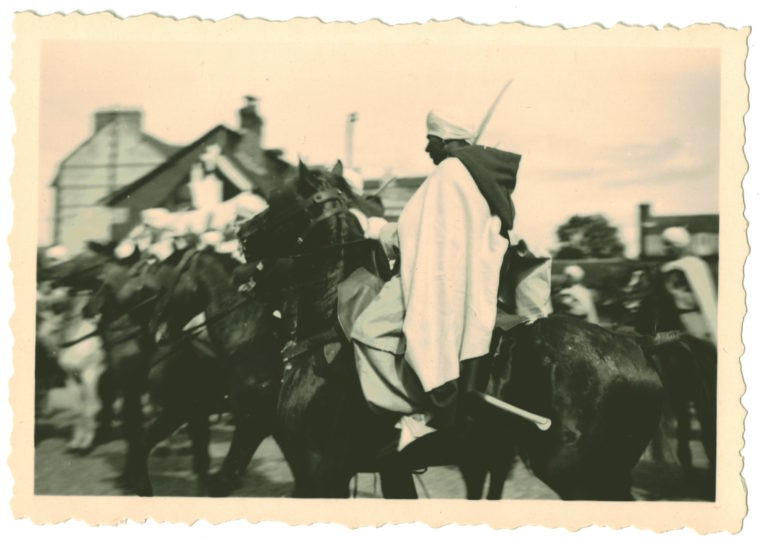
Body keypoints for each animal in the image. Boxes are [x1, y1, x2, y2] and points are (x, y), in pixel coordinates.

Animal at [240, 163, 664, 498]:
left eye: (276, 199)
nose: (241, 233)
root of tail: (637, 344)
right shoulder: (389, 471)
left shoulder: (320, 473)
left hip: (578, 475)